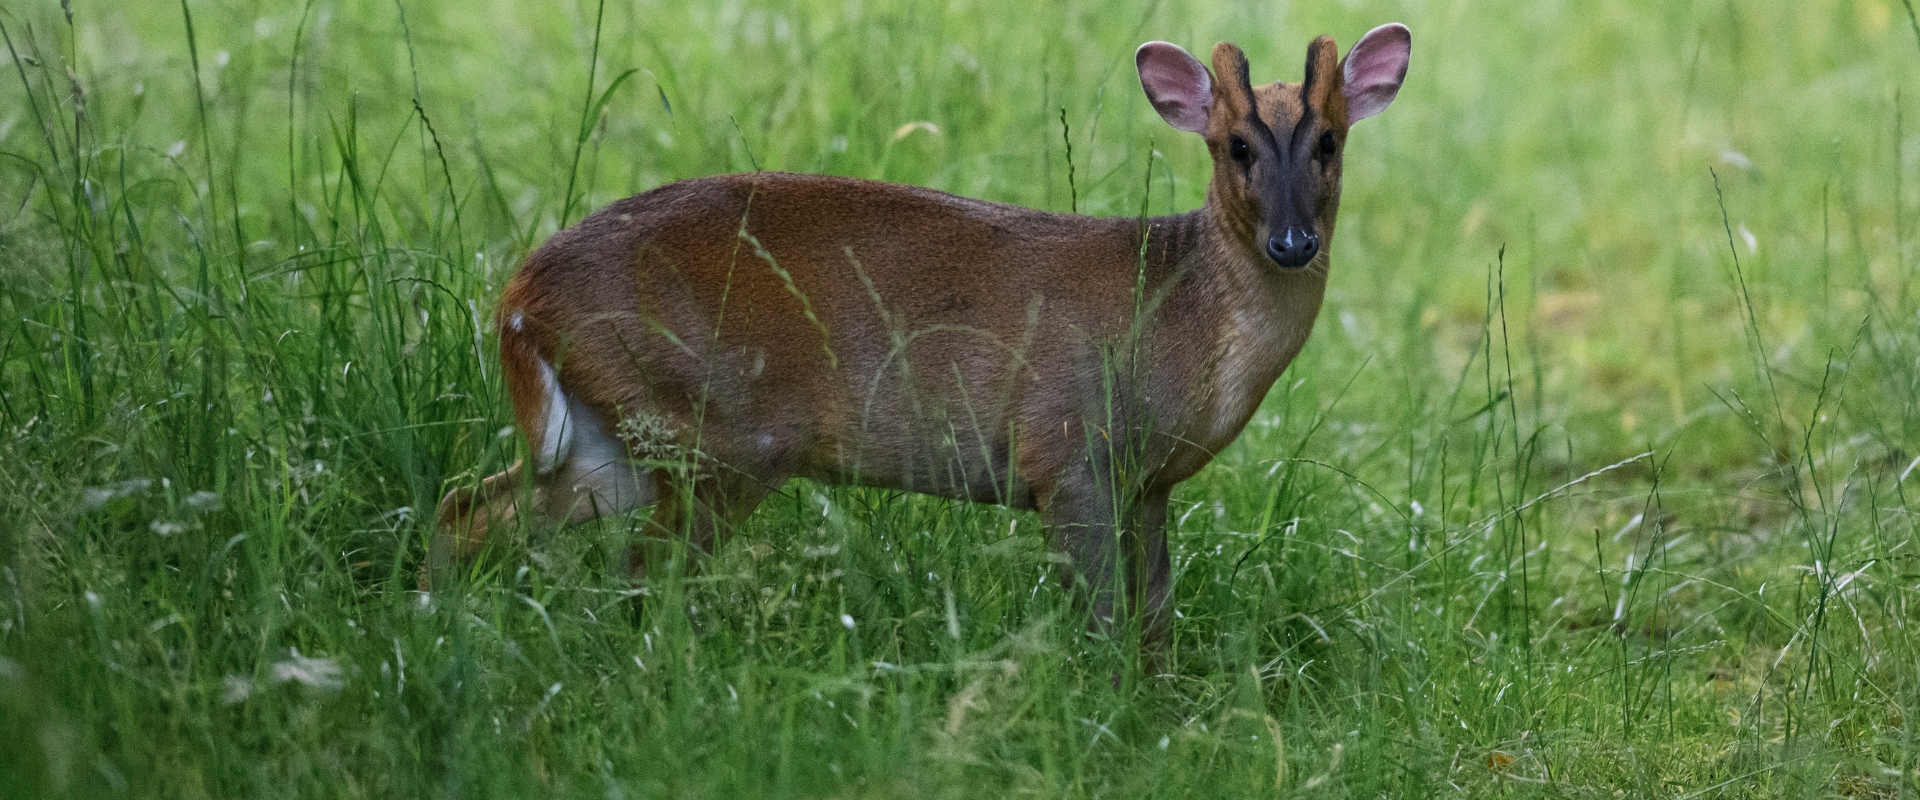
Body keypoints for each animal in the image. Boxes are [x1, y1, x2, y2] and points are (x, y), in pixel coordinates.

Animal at [424, 23, 1413, 648]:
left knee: (471, 508)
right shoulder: (1068, 449)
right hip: (717, 427)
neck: (1185, 314)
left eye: (1329, 142)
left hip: (614, 434)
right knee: (646, 567)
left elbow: (1157, 618)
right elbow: (1105, 620)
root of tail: (517, 295)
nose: (1293, 243)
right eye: (1235, 147)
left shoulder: (1149, 482)